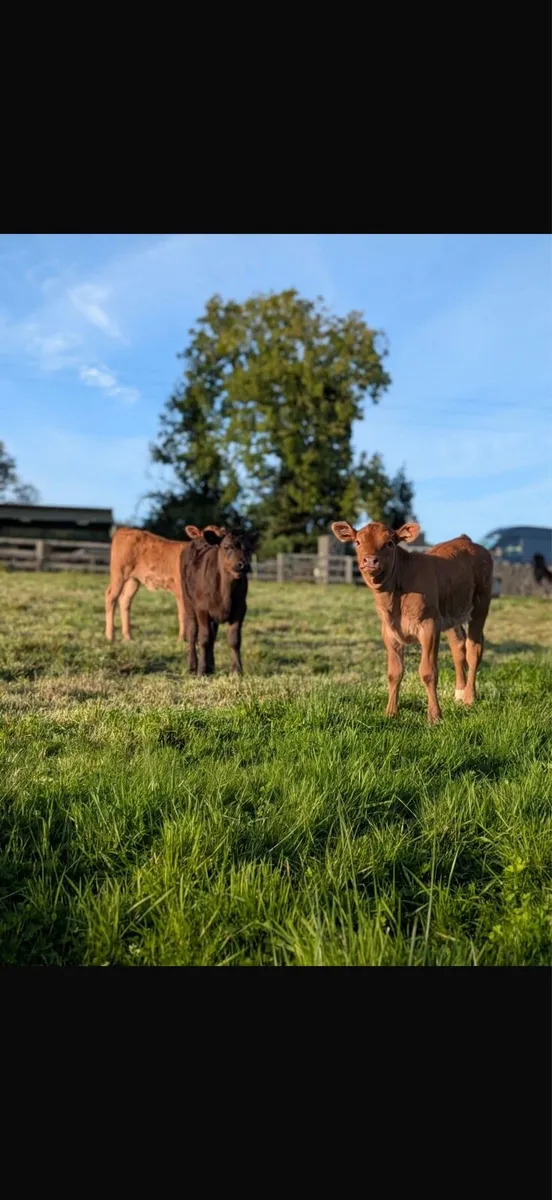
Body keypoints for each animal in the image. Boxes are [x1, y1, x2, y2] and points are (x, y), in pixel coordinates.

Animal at [181, 525, 257, 676]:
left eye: (249, 548)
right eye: (227, 546)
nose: (243, 565)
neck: (225, 593)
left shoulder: (240, 609)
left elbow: (234, 640)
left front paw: (237, 670)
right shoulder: (202, 609)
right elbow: (203, 639)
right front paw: (201, 671)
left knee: (213, 636)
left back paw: (211, 666)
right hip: (188, 602)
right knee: (192, 632)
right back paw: (192, 666)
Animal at [331, 519, 493, 724]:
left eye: (389, 543)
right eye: (358, 542)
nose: (370, 560)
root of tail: (466, 540)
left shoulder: (429, 627)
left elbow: (428, 672)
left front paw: (435, 717)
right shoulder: (389, 632)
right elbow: (394, 673)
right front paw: (390, 713)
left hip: (481, 604)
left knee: (474, 649)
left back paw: (469, 698)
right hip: (451, 613)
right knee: (459, 648)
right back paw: (459, 693)